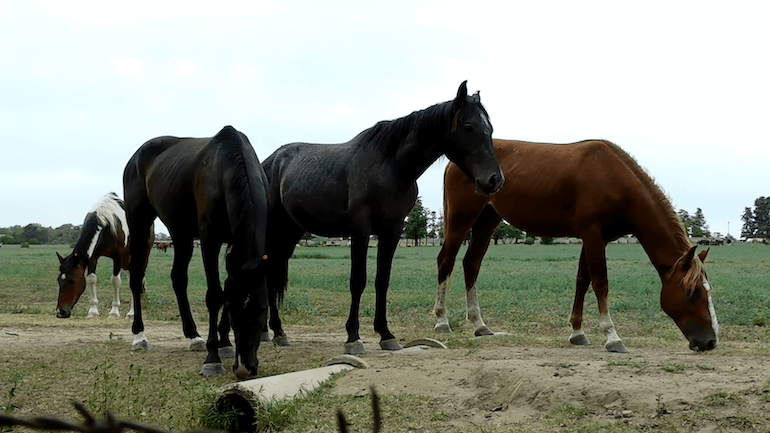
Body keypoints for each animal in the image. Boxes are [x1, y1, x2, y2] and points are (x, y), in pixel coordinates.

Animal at [123, 125, 269, 378]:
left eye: (261, 309)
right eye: (233, 311)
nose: (244, 368)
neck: (226, 168)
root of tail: (136, 156)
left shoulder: (233, 248)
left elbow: (227, 286)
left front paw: (224, 343)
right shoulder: (210, 240)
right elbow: (215, 295)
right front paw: (213, 358)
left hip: (180, 234)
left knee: (178, 279)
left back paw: (193, 336)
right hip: (139, 224)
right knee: (136, 277)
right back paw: (139, 336)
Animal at [262, 81, 504, 354]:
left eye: (489, 129)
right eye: (468, 126)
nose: (495, 180)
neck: (389, 167)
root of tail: (270, 162)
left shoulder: (392, 231)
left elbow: (382, 281)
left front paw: (386, 335)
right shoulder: (360, 230)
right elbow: (358, 281)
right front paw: (353, 338)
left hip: (290, 232)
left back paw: (277, 332)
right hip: (274, 230)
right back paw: (274, 332)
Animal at [433, 139, 719, 353]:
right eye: (692, 291)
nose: (711, 341)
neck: (613, 176)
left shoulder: (592, 238)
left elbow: (582, 281)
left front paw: (577, 333)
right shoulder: (593, 235)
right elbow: (600, 283)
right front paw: (612, 336)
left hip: (486, 220)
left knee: (471, 264)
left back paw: (479, 324)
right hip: (461, 219)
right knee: (446, 261)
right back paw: (442, 321)